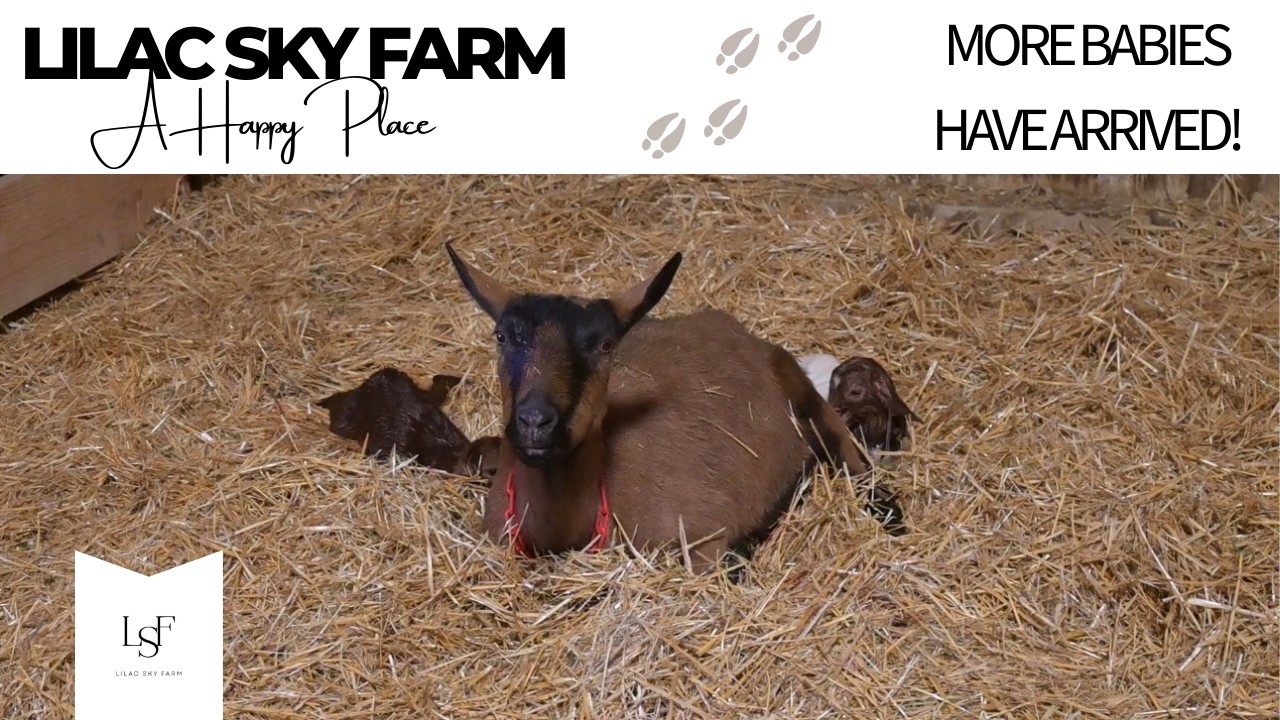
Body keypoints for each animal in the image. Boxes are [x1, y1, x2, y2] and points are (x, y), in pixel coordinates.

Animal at [446, 244, 906, 571]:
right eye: (502, 336)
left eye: (606, 345)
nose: (535, 422)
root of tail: (737, 332)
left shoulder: (702, 541)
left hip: (802, 389)